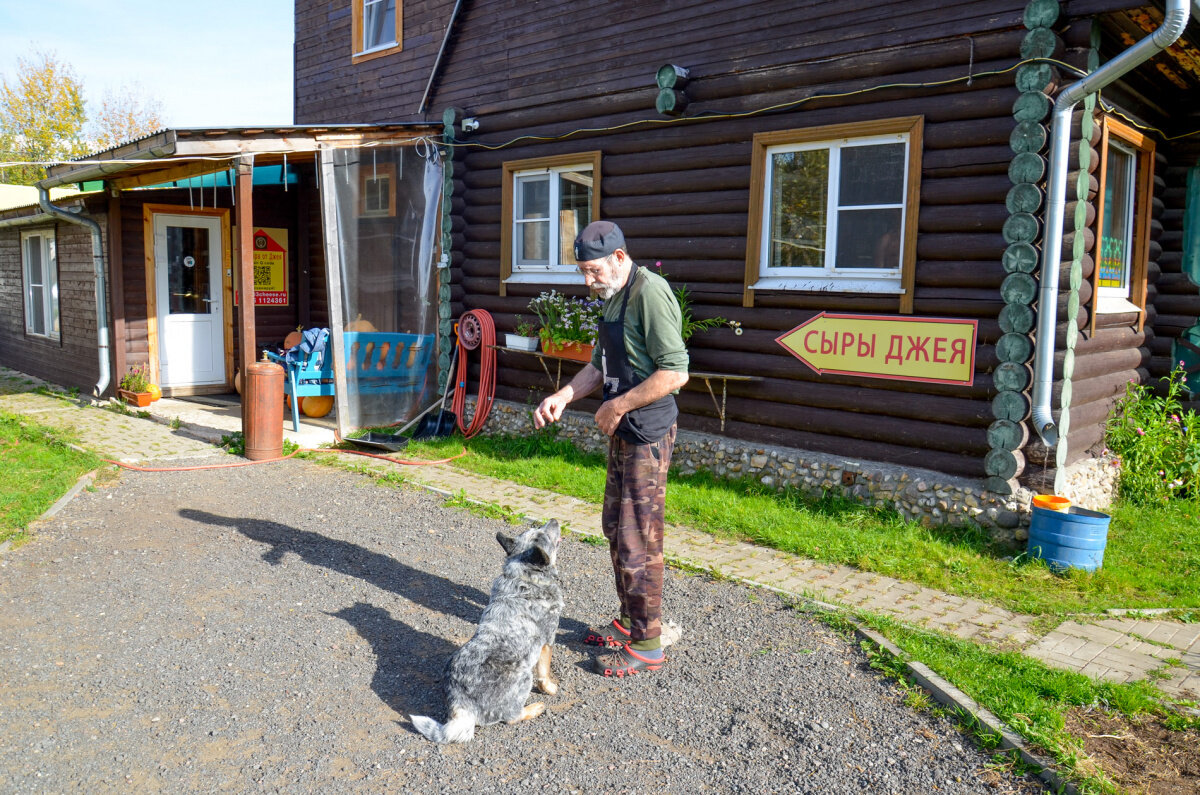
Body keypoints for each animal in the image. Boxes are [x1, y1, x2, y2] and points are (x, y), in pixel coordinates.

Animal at [410, 521, 564, 744]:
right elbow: (544, 672)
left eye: (538, 528)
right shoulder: (548, 639)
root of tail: (461, 706)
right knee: (511, 717)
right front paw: (550, 688)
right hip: (524, 676)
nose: (554, 520)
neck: (524, 577)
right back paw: (534, 708)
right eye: (544, 534)